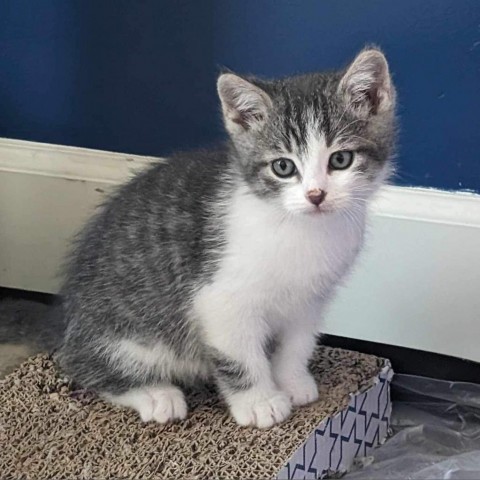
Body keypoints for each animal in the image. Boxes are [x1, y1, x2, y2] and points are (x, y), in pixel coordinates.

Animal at [1, 47, 396, 428]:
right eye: (283, 167)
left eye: (340, 160)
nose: (316, 195)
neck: (302, 230)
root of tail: (65, 316)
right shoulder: (219, 300)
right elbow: (241, 356)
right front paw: (260, 402)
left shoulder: (310, 298)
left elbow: (298, 342)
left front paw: (293, 381)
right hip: (131, 336)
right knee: (78, 363)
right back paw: (156, 395)